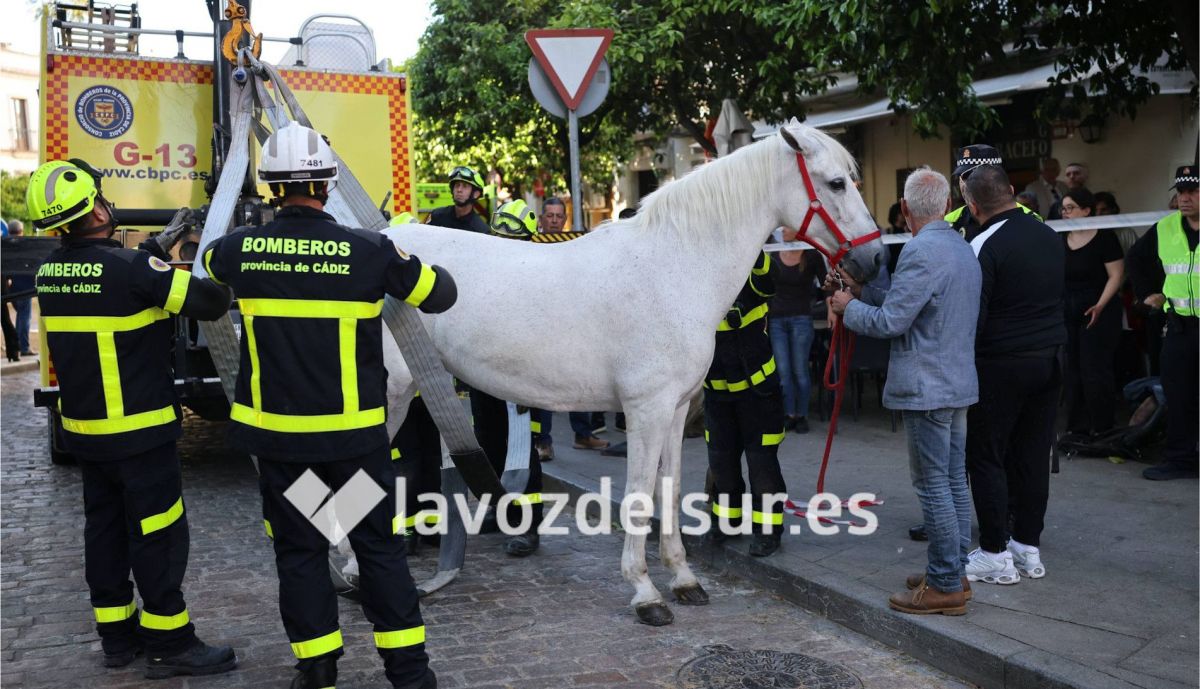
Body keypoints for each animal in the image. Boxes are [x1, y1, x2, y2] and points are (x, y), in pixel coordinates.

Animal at [380, 121, 885, 626]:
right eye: (836, 183)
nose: (876, 258)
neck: (672, 269)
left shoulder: (677, 409)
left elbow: (670, 488)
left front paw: (683, 578)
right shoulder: (647, 409)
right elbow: (640, 495)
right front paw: (645, 592)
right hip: (390, 394)